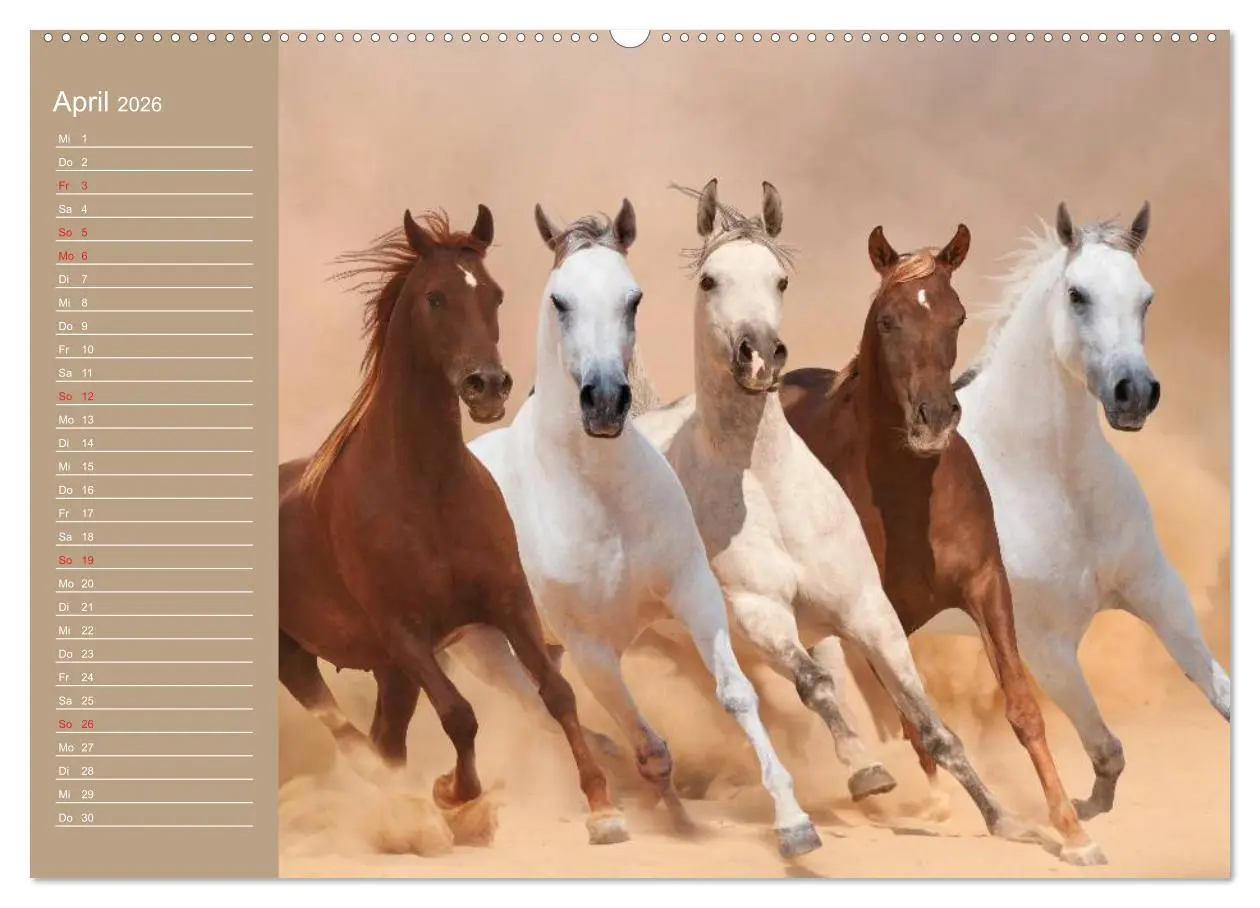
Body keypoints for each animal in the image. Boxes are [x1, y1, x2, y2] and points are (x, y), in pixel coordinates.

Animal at [277, 206, 626, 846]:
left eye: (494, 294)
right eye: (435, 297)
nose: (487, 385)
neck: (427, 490)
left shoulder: (506, 603)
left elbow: (558, 694)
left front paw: (602, 806)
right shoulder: (404, 632)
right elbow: (460, 715)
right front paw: (455, 793)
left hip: (390, 673)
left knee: (384, 739)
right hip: (298, 655)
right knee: (350, 736)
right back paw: (407, 809)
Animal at [460, 199, 822, 858]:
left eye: (633, 298)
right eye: (559, 300)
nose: (604, 401)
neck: (604, 500)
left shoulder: (694, 594)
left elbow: (737, 695)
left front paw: (792, 821)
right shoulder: (591, 648)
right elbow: (644, 741)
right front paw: (660, 814)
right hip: (488, 649)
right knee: (542, 708)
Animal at [777, 216, 1105, 865]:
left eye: (955, 317)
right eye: (887, 320)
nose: (934, 416)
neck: (909, 496)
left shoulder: (985, 585)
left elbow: (1022, 708)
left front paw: (1072, 832)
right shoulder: (872, 611)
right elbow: (913, 716)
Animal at [926, 202, 1230, 818]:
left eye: (1146, 298)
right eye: (1077, 294)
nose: (1133, 392)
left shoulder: (1160, 593)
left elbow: (1225, 695)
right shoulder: (1047, 646)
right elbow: (1106, 749)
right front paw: (1079, 814)